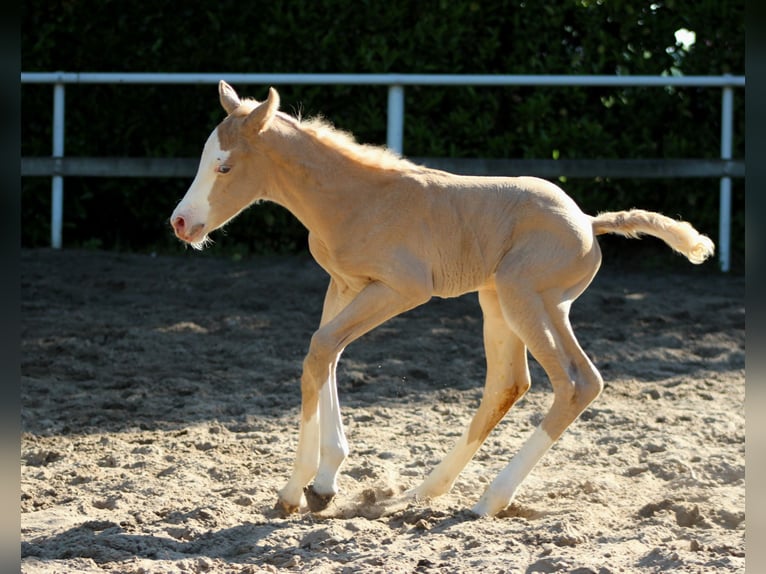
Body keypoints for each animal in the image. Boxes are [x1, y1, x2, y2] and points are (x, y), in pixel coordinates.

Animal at [170, 81, 715, 517]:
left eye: (225, 166)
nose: (180, 222)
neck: (356, 199)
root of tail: (588, 221)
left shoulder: (401, 290)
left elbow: (321, 350)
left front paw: (293, 490)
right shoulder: (344, 285)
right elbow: (325, 353)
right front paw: (323, 485)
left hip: (526, 299)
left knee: (577, 382)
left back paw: (489, 499)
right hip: (504, 303)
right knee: (509, 383)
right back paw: (424, 491)